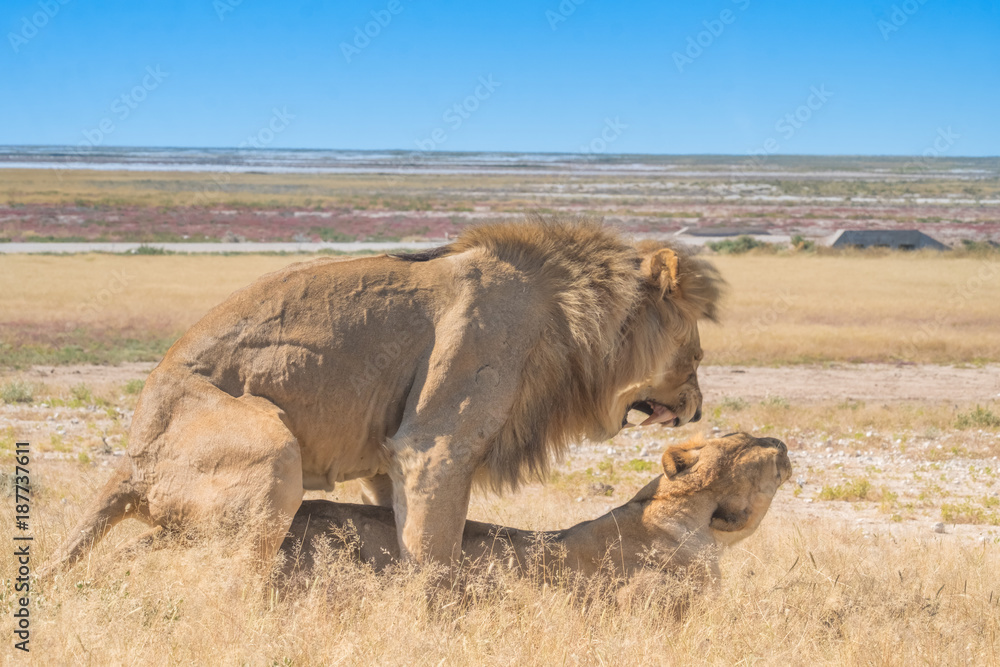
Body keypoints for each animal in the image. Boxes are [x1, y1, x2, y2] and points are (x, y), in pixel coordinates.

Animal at [46, 217, 723, 574]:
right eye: (695, 356)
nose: (699, 406)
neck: (564, 319)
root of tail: (130, 457)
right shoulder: (435, 447)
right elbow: (435, 561)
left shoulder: (388, 457)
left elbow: (409, 537)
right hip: (271, 447)